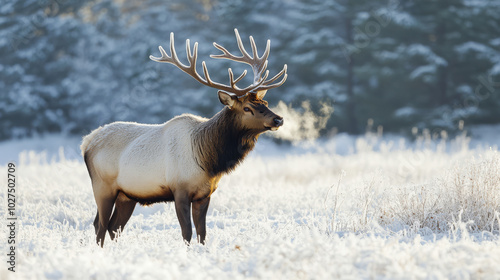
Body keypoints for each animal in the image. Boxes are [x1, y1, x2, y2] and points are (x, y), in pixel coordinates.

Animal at [80, 28, 288, 246]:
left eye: (265, 102)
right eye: (247, 108)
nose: (278, 119)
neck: (209, 160)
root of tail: (87, 142)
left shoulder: (205, 194)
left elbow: (202, 233)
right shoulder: (179, 189)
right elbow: (186, 232)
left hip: (127, 195)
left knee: (114, 226)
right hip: (102, 186)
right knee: (100, 224)